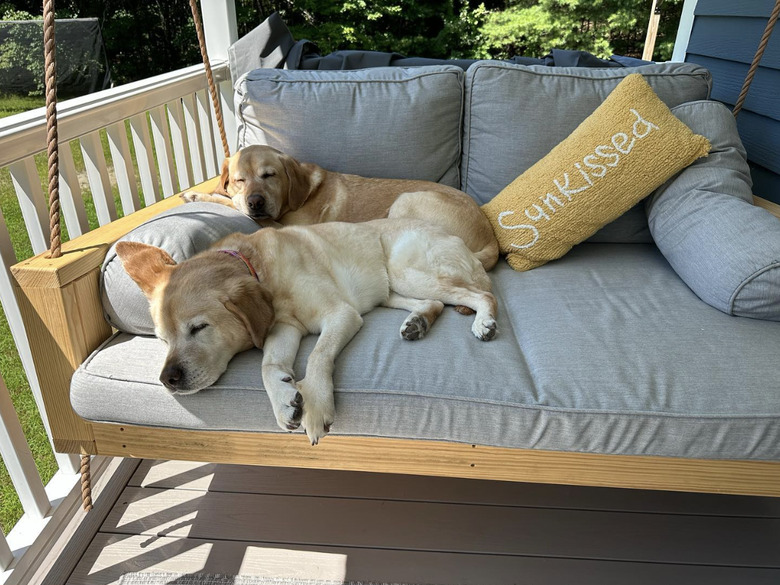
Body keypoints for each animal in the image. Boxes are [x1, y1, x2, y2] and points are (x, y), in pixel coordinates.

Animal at [119, 218, 496, 442]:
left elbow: (318, 355)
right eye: (163, 340)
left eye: (198, 328)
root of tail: (459, 241)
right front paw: (284, 400)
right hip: (391, 289)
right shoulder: (283, 327)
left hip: (407, 271)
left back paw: (484, 321)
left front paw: (315, 406)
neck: (259, 268)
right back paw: (418, 322)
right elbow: (268, 365)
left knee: (482, 294)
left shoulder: (340, 314)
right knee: (434, 304)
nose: (168, 379)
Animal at [181, 146, 500, 274]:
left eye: (269, 175)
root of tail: (491, 239)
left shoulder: (282, 224)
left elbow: (231, 203)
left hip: (405, 201)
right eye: (240, 179)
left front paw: (198, 195)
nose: (256, 202)